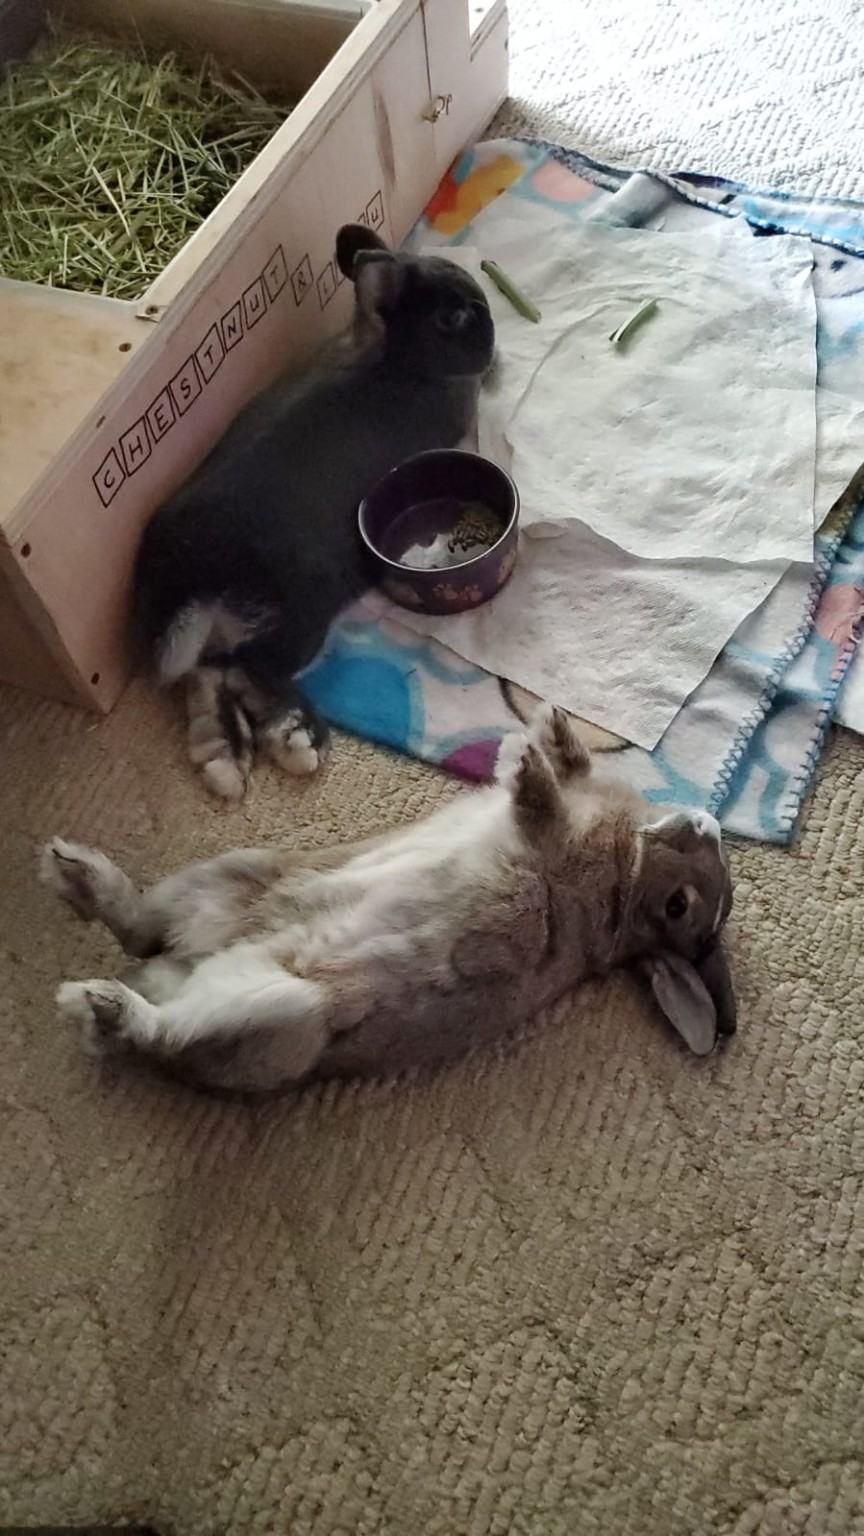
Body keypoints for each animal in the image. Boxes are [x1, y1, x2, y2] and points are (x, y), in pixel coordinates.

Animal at [43, 706, 736, 1095]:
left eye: (679, 907)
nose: (707, 823)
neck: (626, 872)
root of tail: (175, 971)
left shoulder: (548, 864)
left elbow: (538, 807)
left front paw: (529, 768)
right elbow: (569, 767)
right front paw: (549, 728)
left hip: (282, 1015)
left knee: (158, 1029)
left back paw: (100, 1000)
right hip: (229, 875)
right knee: (139, 927)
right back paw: (72, 874)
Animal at [133, 222, 497, 803]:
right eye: (451, 318)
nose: (489, 337)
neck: (392, 359)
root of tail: (190, 583)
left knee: (207, 676)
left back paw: (223, 762)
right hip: (301, 613)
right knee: (246, 672)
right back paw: (299, 741)